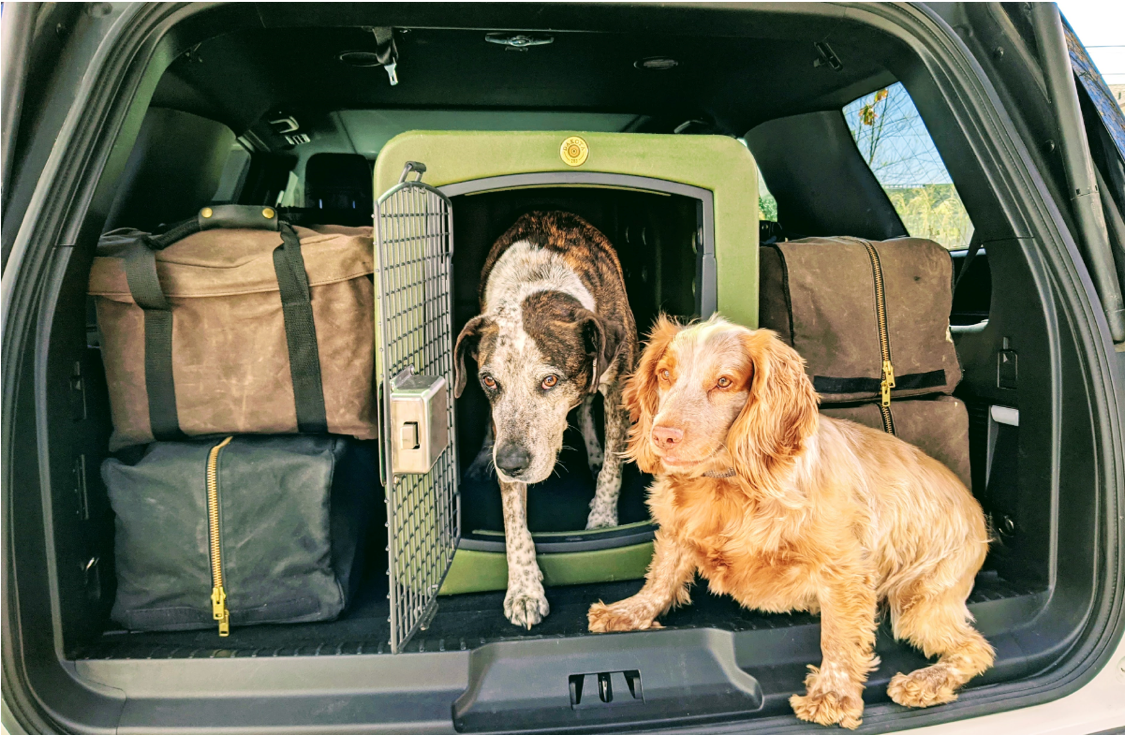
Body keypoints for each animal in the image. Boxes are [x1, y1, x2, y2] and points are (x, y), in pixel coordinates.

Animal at [452, 210, 639, 625]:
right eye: (490, 380)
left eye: (550, 380)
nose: (510, 463)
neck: (538, 287)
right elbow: (512, 519)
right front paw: (524, 589)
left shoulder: (618, 386)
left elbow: (614, 469)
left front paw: (602, 520)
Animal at [589, 315, 994, 729]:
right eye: (665, 374)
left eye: (724, 381)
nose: (662, 436)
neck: (725, 485)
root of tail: (978, 512)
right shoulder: (676, 529)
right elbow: (661, 577)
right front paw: (627, 612)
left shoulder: (844, 570)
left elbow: (838, 636)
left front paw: (831, 696)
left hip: (917, 601)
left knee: (976, 648)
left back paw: (925, 682)